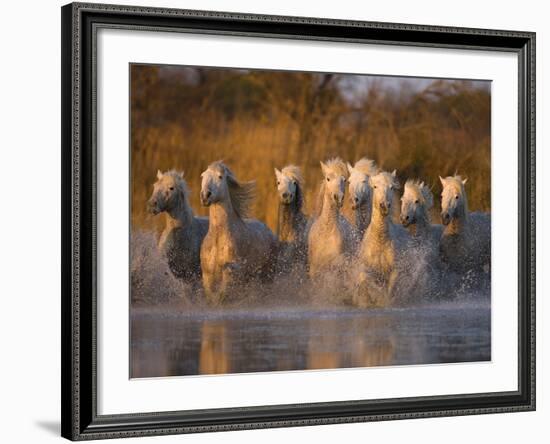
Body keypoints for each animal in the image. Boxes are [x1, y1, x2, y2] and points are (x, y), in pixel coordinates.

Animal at [199, 160, 280, 306]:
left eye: (220, 176)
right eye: (203, 176)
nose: (205, 196)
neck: (218, 237)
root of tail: (269, 231)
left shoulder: (231, 273)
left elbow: (221, 297)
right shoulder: (207, 275)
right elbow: (212, 298)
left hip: (267, 274)